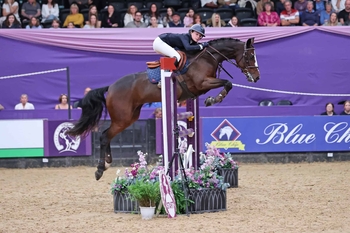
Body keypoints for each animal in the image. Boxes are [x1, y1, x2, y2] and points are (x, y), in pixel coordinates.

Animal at [67, 36, 260, 180]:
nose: (256, 77)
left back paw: (106, 163)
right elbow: (228, 83)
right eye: (250, 56)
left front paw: (212, 99)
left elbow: (227, 84)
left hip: (130, 117)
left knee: (107, 135)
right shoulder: (202, 83)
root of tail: (111, 87)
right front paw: (213, 99)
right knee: (104, 136)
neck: (207, 58)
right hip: (122, 118)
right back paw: (100, 169)